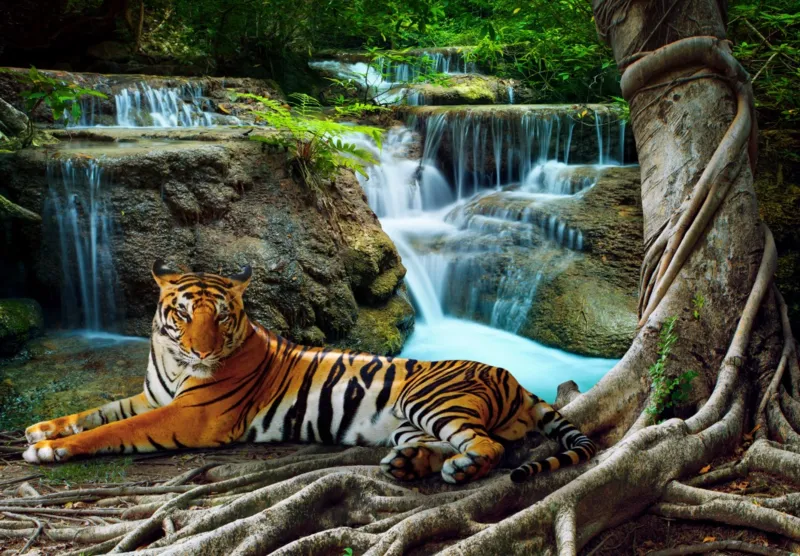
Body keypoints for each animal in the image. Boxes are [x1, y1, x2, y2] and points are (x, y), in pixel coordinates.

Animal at [23, 260, 596, 484]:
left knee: (488, 447)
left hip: (429, 400)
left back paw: (457, 469)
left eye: (221, 316)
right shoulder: (153, 397)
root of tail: (514, 379)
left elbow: (113, 429)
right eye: (183, 314)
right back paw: (408, 464)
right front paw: (41, 429)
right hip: (409, 421)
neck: (170, 359)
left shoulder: (189, 416)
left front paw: (50, 449)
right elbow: (99, 411)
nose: (203, 351)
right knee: (447, 444)